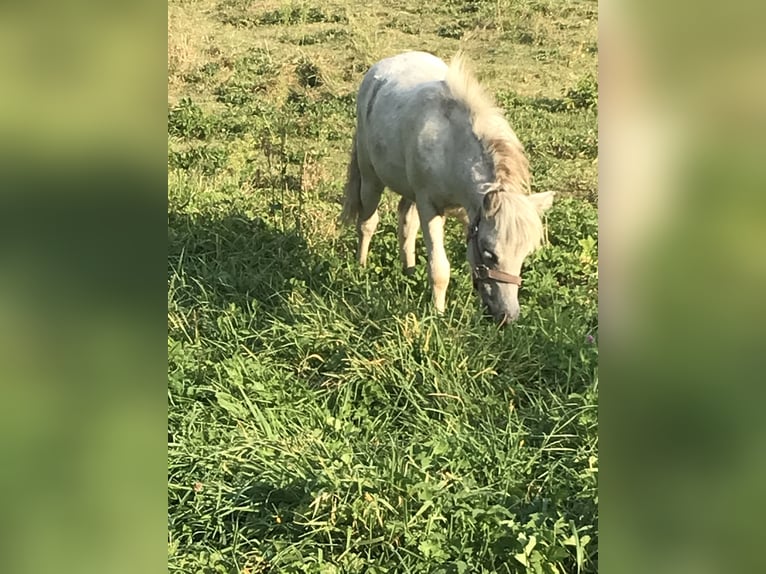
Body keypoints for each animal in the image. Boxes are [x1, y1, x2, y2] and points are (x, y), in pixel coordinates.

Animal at [340, 50, 552, 324]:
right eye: (489, 253)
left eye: (525, 254)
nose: (508, 315)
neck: (451, 148)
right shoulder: (430, 206)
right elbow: (439, 268)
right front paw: (438, 315)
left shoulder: (469, 212)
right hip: (370, 178)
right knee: (367, 223)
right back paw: (361, 267)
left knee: (406, 223)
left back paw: (409, 272)